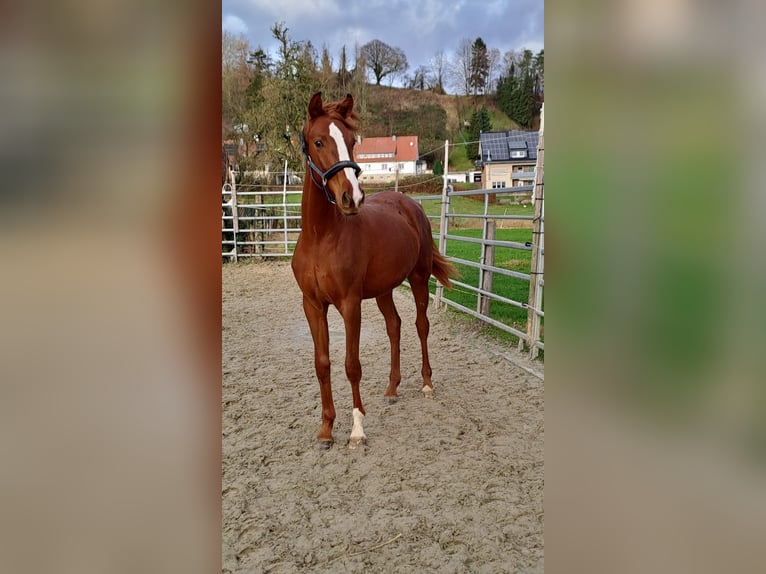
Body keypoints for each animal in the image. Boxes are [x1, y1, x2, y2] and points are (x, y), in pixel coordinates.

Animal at [290, 93, 456, 450]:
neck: (321, 237)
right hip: (384, 290)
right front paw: (326, 429)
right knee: (395, 326)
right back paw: (392, 388)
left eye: (352, 142)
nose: (352, 198)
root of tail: (411, 206)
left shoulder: (350, 305)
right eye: (318, 141)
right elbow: (322, 364)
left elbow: (352, 365)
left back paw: (426, 383)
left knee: (421, 326)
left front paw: (356, 429)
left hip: (418, 279)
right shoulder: (313, 305)